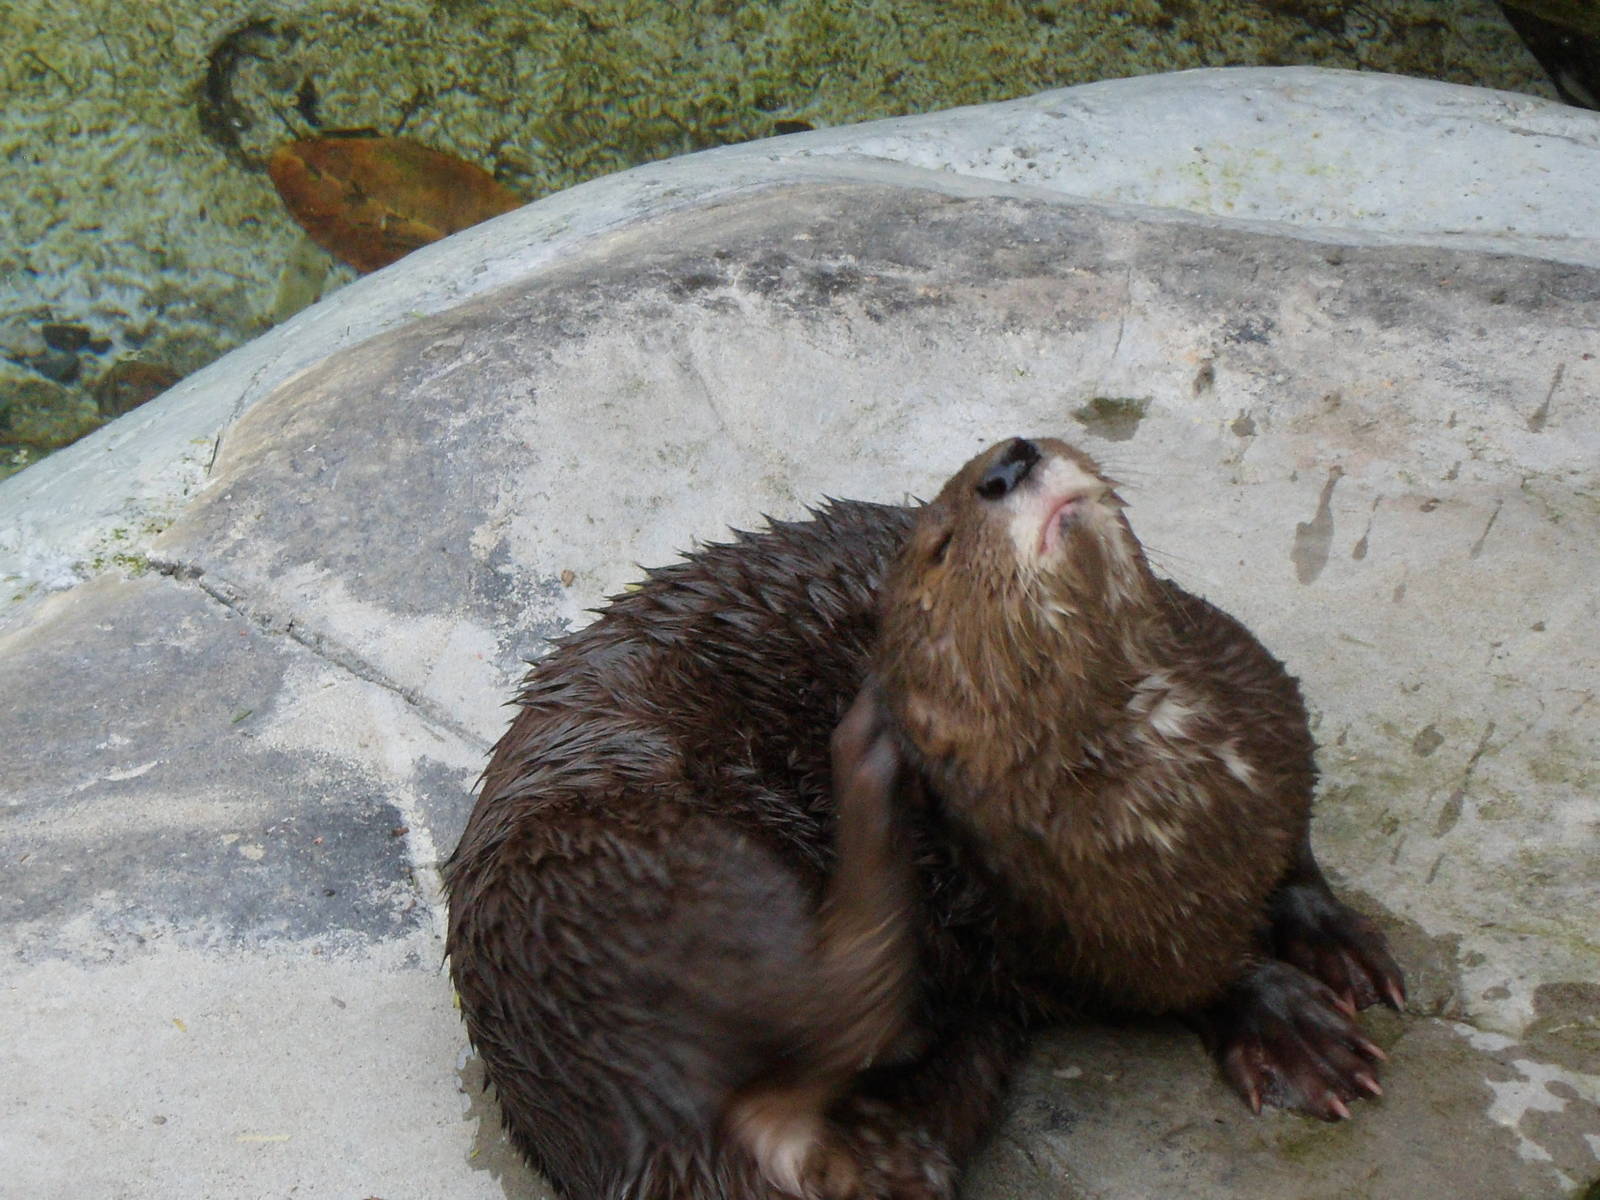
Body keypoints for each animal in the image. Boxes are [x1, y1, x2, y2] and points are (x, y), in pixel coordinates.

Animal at [444, 436, 1405, 1200]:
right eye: (940, 547)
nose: (1010, 461)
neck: (1189, 793)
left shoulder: (1276, 724)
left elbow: (1297, 858)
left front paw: (1338, 943)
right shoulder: (1072, 929)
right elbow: (1190, 976)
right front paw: (1288, 1027)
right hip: (636, 870)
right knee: (830, 1006)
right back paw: (867, 765)